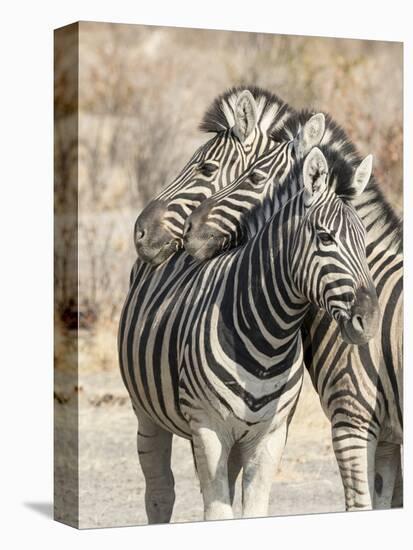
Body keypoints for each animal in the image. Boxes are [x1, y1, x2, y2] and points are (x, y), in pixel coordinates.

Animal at [117, 148, 378, 528]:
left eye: (364, 242)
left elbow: (252, 509)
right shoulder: (208, 428)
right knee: (159, 492)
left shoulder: (270, 435)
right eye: (326, 237)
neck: (269, 337)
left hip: (236, 441)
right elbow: (217, 511)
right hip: (147, 413)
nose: (369, 320)